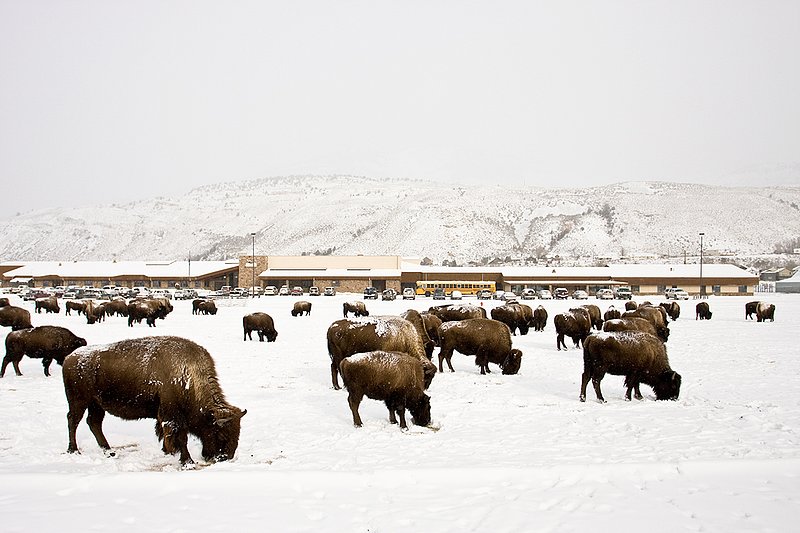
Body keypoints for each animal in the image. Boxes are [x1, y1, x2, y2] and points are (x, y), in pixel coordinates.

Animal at [63, 336, 246, 465]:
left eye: (238, 433)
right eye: (221, 433)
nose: (225, 457)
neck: (189, 377)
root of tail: (69, 358)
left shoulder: (164, 417)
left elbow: (166, 434)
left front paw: (168, 452)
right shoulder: (172, 417)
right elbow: (181, 438)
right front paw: (187, 461)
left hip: (96, 404)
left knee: (94, 423)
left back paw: (109, 452)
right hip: (79, 401)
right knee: (73, 421)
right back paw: (74, 450)